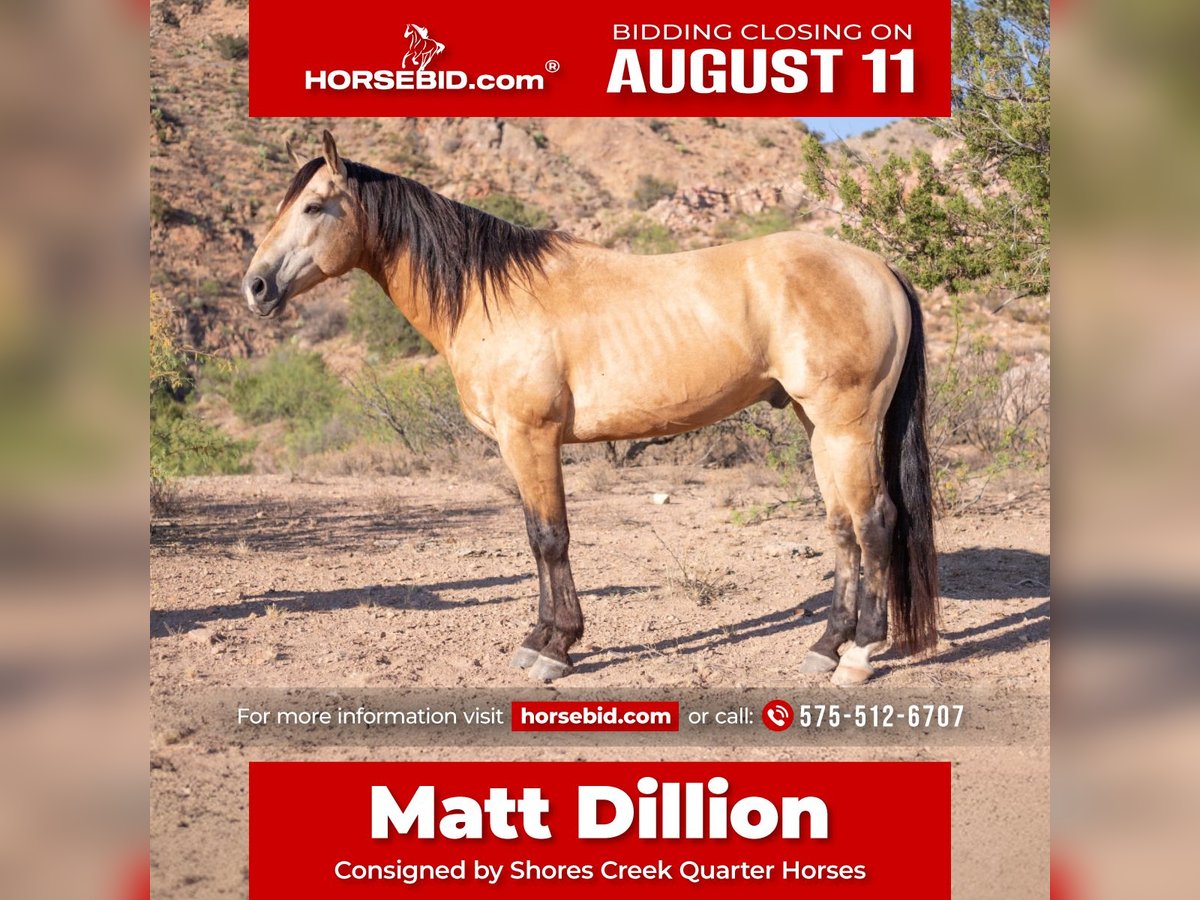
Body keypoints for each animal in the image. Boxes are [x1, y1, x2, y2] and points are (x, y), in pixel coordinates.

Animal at [243, 132, 939, 686]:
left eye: (313, 206)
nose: (255, 287)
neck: (490, 294)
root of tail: (879, 268)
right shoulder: (518, 444)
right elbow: (536, 538)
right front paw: (540, 639)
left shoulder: (530, 437)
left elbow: (549, 538)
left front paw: (555, 648)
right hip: (816, 425)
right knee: (841, 527)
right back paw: (825, 646)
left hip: (848, 424)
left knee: (874, 522)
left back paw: (859, 655)